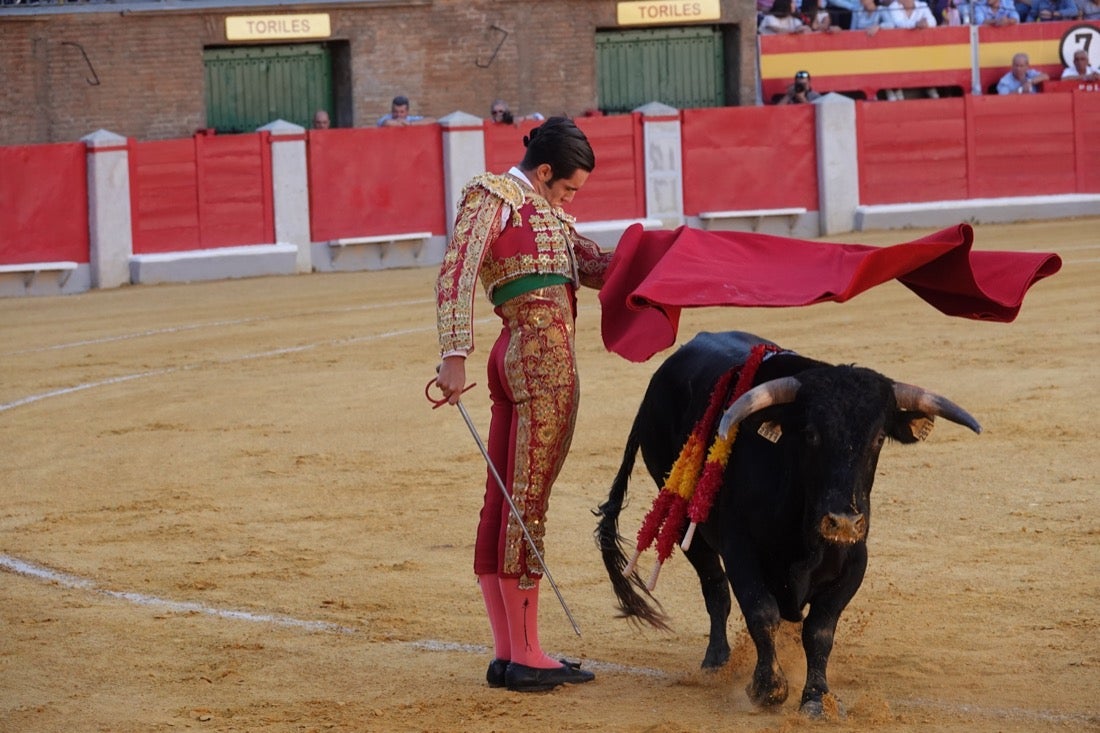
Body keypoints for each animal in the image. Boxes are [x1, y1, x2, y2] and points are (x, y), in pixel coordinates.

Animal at [598, 330, 985, 713]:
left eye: (877, 438)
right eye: (811, 434)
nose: (843, 522)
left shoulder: (855, 560)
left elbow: (819, 630)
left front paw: (815, 697)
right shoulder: (741, 552)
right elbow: (761, 612)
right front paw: (767, 688)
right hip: (681, 519)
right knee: (715, 588)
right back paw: (716, 661)